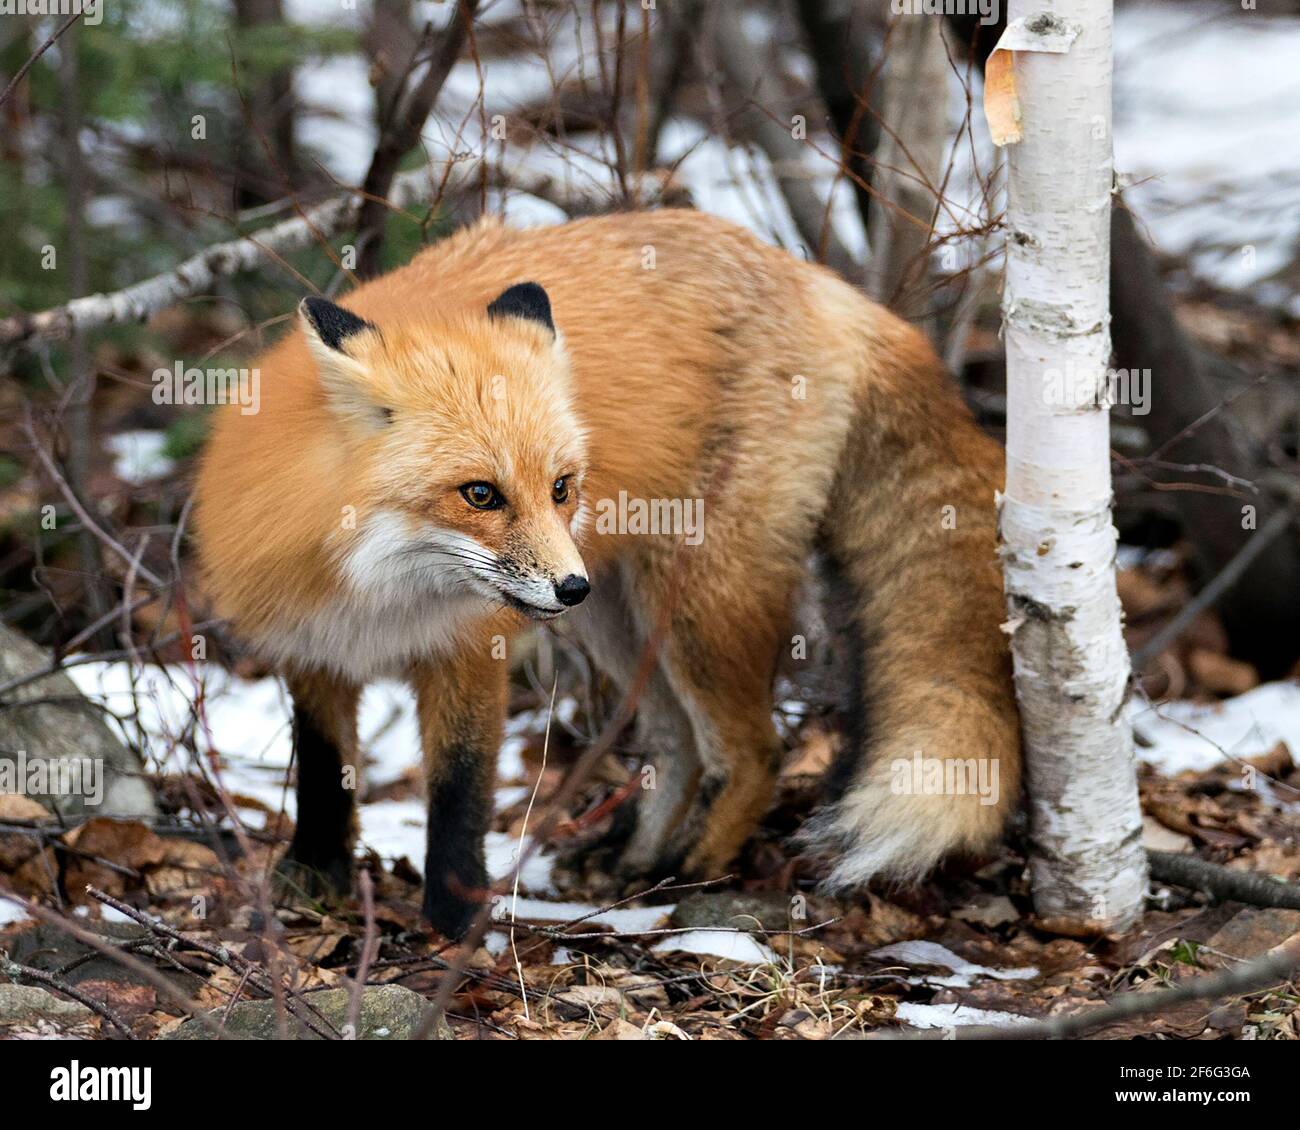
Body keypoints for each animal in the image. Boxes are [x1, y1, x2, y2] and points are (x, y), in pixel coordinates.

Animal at [193, 209, 1020, 938]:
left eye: (561, 487)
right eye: (480, 494)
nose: (569, 586)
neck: (377, 592)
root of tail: (816, 279)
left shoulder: (470, 652)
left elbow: (460, 794)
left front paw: (454, 922)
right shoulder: (312, 645)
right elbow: (323, 771)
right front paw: (315, 874)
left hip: (693, 603)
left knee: (754, 752)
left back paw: (694, 869)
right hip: (621, 623)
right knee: (678, 747)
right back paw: (639, 859)